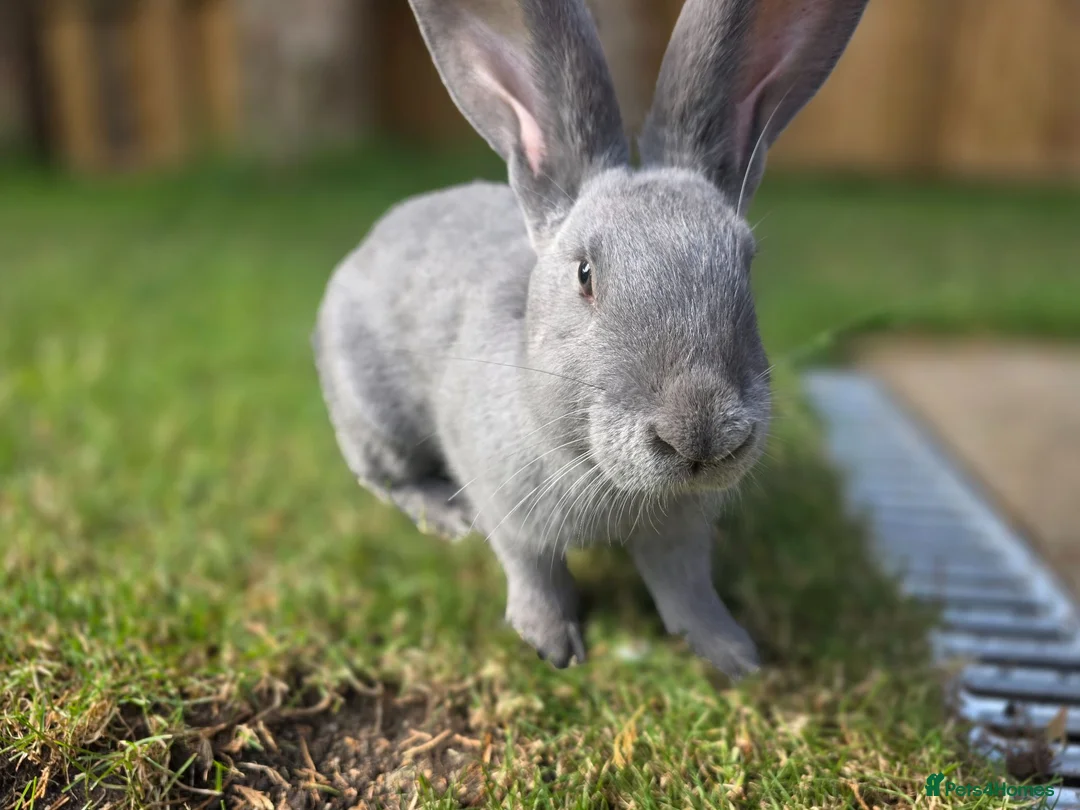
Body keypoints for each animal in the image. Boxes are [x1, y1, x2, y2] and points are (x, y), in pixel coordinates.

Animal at [313, 0, 869, 678]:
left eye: (746, 263)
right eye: (585, 275)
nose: (703, 435)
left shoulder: (680, 534)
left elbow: (686, 587)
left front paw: (732, 653)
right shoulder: (512, 512)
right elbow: (534, 573)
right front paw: (553, 647)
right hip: (374, 414)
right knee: (383, 477)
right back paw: (446, 514)